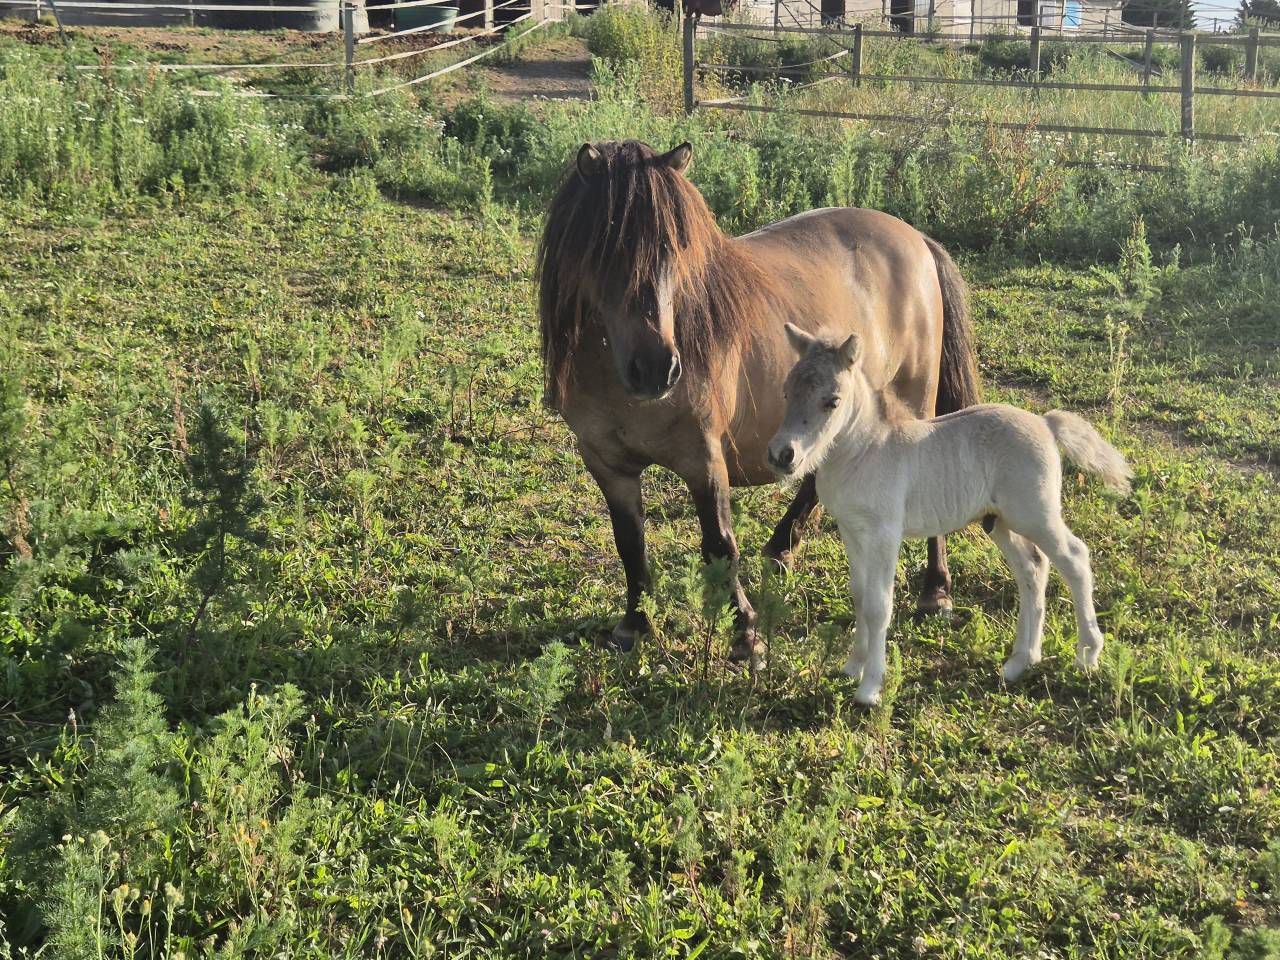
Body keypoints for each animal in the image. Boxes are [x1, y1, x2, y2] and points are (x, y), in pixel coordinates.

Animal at [536, 139, 982, 660]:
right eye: (605, 247)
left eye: (677, 246)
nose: (656, 369)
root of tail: (916, 239)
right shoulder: (607, 464)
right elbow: (630, 543)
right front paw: (634, 625)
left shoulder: (703, 458)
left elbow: (718, 545)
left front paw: (746, 635)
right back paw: (782, 547)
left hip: (913, 396)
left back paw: (935, 591)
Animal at [767, 324, 1131, 704]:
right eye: (786, 392)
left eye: (833, 400)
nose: (782, 455)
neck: (863, 452)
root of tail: (1045, 423)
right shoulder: (851, 531)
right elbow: (860, 596)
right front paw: (853, 667)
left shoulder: (884, 534)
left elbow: (879, 605)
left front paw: (869, 689)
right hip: (1001, 522)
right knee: (1032, 569)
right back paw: (1020, 662)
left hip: (1036, 515)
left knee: (1075, 558)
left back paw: (1087, 655)